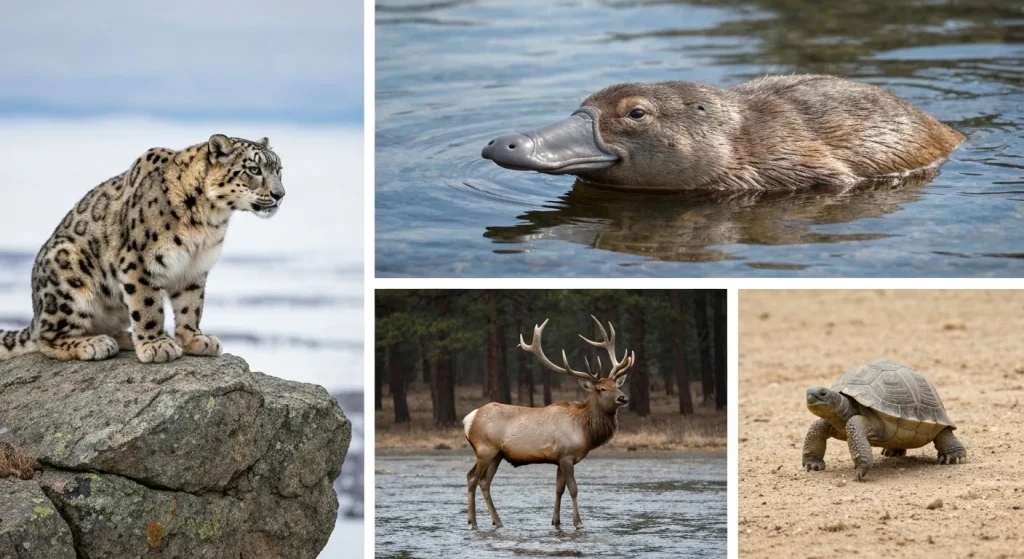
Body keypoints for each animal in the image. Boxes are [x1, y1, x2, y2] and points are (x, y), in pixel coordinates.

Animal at [0, 134, 284, 363]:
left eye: (279, 170)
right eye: (254, 169)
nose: (280, 194)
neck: (209, 220)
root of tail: (36, 311)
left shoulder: (195, 267)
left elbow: (191, 306)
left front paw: (194, 339)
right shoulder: (139, 262)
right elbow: (148, 305)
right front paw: (157, 345)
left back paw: (123, 338)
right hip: (68, 274)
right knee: (46, 338)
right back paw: (96, 343)